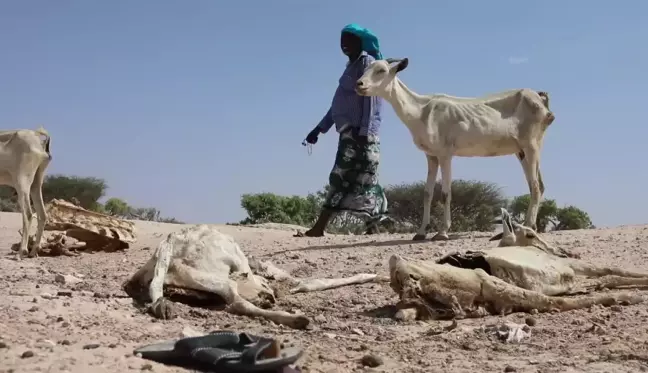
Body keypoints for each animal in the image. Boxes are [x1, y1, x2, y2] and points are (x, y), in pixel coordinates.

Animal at [0, 126, 52, 258]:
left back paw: (21, 251)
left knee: (28, 214)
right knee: (42, 214)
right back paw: (34, 251)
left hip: (22, 181)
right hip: (36, 182)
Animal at [356, 56, 556, 240]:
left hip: (531, 145)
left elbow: (445, 193)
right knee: (538, 185)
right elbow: (427, 193)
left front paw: (442, 232)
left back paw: (528, 226)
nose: (359, 84)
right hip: (521, 151)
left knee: (535, 186)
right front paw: (421, 232)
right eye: (366, 68)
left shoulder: (445, 154)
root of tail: (539, 98)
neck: (421, 111)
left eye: (381, 70)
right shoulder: (431, 156)